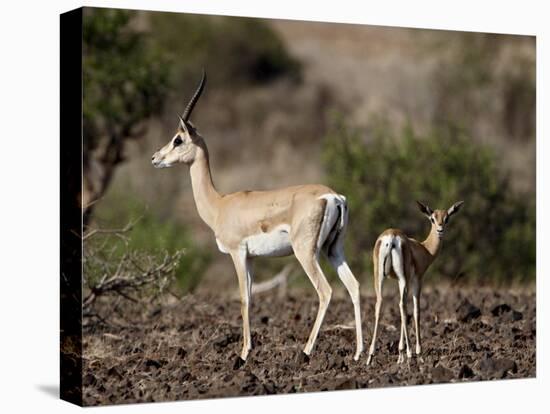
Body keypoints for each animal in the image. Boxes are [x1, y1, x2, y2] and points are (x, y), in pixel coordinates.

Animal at [153, 72, 364, 362]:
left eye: (178, 139)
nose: (155, 158)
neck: (220, 205)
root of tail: (333, 196)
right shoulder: (251, 258)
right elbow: (252, 299)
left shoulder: (237, 253)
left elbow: (243, 299)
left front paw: (243, 354)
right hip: (333, 250)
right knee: (354, 286)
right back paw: (361, 353)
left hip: (306, 252)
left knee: (326, 291)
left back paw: (306, 351)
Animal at [366, 201, 466, 366]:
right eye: (432, 218)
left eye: (447, 218)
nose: (440, 230)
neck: (424, 249)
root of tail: (391, 237)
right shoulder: (417, 280)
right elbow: (416, 311)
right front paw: (417, 354)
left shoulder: (399, 281)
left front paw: (400, 355)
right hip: (403, 278)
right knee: (403, 306)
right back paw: (411, 353)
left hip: (379, 277)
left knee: (380, 304)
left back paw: (370, 356)